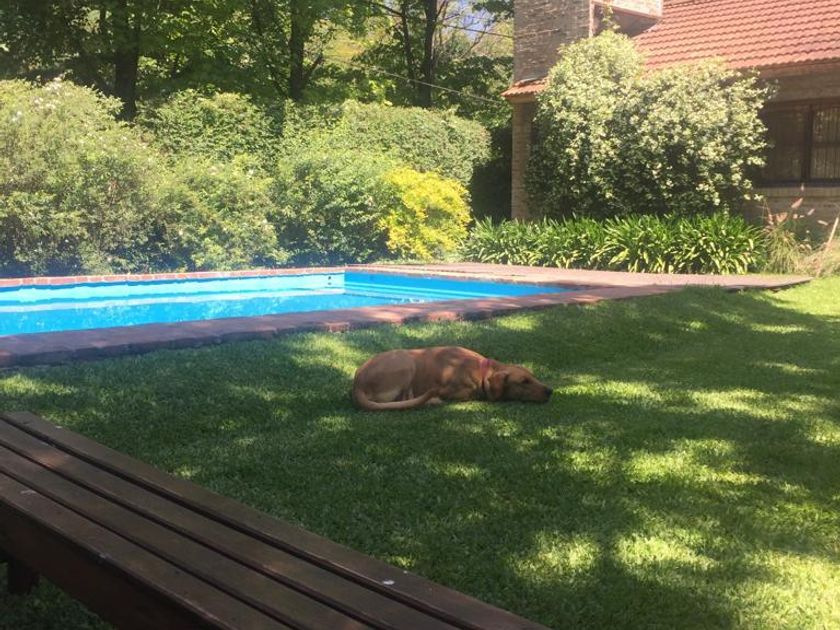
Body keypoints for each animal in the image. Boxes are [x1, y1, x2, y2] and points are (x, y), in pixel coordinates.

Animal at [352, 346, 552, 411]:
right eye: (524, 382)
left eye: (533, 377)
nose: (550, 391)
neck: (482, 370)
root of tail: (357, 384)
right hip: (407, 361)